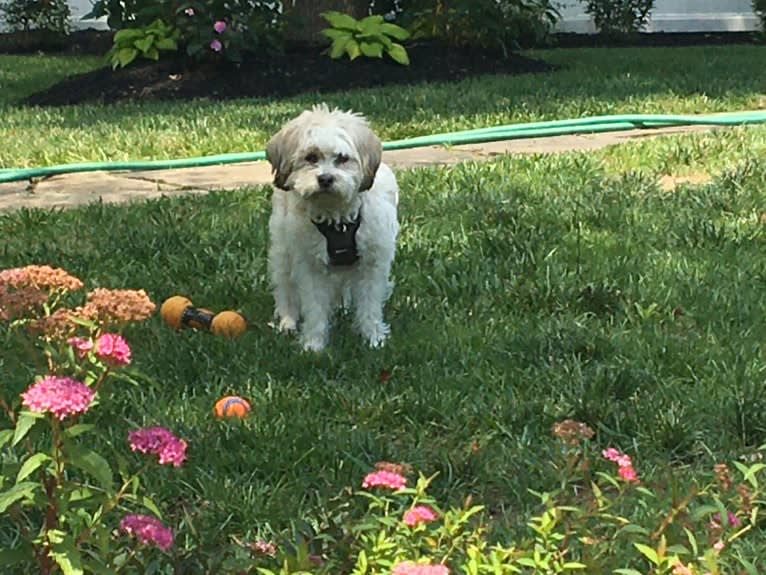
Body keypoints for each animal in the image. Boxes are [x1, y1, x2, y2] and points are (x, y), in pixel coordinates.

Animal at [266, 106, 402, 354]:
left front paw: (373, 337)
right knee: (285, 286)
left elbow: (369, 304)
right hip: (283, 249)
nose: (326, 179)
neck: (337, 216)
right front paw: (314, 343)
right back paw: (287, 321)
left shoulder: (372, 263)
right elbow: (315, 307)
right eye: (311, 157)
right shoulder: (309, 265)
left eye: (342, 158)